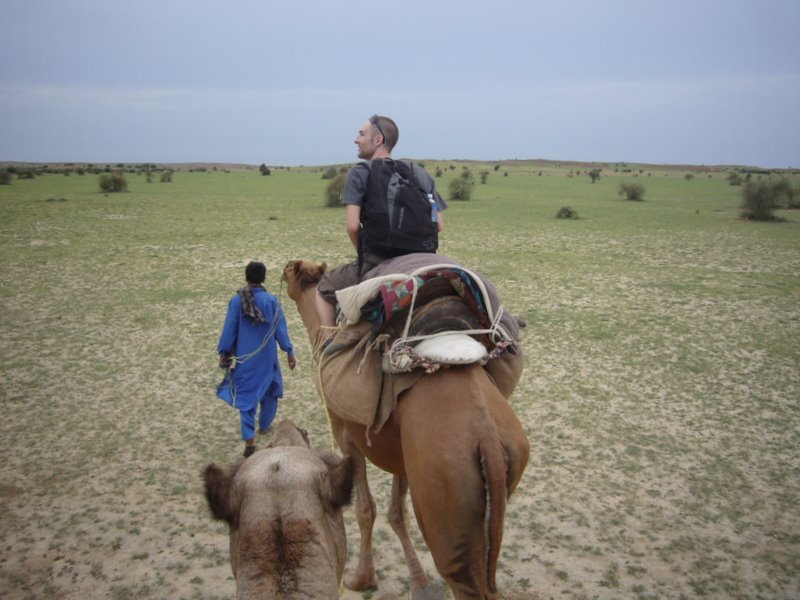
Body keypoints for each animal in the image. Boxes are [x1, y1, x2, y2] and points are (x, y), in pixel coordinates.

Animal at [282, 259, 530, 600]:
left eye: (290, 271)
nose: (280, 272)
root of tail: (489, 443)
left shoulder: (346, 436)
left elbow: (365, 510)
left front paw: (361, 578)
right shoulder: (402, 452)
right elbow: (397, 512)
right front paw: (418, 580)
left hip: (446, 508)